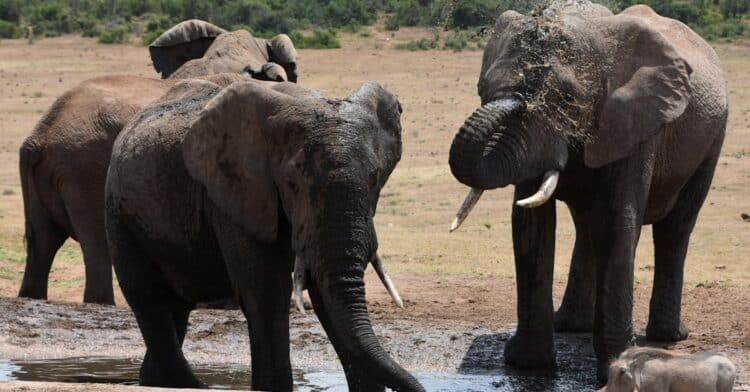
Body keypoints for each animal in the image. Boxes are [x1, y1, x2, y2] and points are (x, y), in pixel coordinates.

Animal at [104, 79, 428, 392]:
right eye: (292, 183)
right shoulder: (233, 193)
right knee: (148, 295)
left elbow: (326, 296)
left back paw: (157, 381)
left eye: (374, 178)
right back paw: (188, 384)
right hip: (119, 209)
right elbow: (266, 292)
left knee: (175, 307)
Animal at [446, 0, 728, 382]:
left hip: (713, 138)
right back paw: (570, 325)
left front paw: (616, 367)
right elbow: (530, 225)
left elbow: (615, 220)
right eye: (482, 90)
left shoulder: (635, 123)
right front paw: (527, 365)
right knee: (587, 227)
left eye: (567, 99)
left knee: (676, 227)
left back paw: (667, 335)